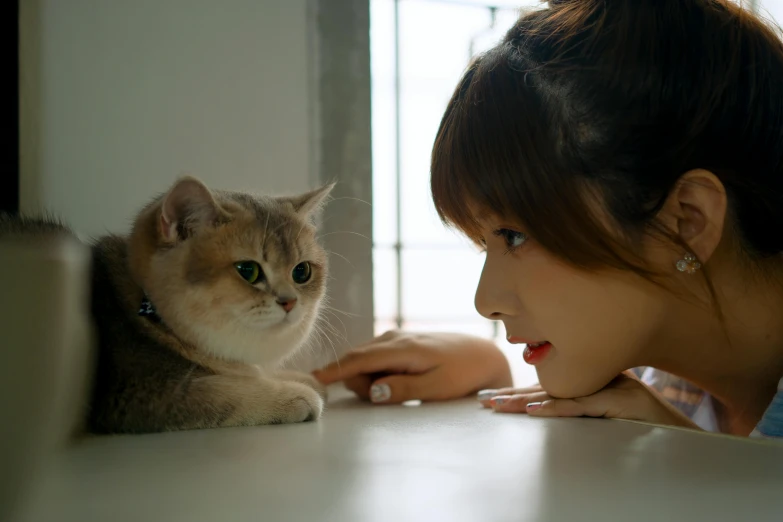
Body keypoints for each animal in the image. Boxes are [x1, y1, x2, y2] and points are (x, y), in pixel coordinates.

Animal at [0, 177, 334, 432]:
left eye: (301, 272)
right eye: (248, 270)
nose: (290, 302)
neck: (145, 309)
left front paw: (298, 378)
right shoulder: (139, 392)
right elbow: (225, 392)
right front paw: (292, 394)